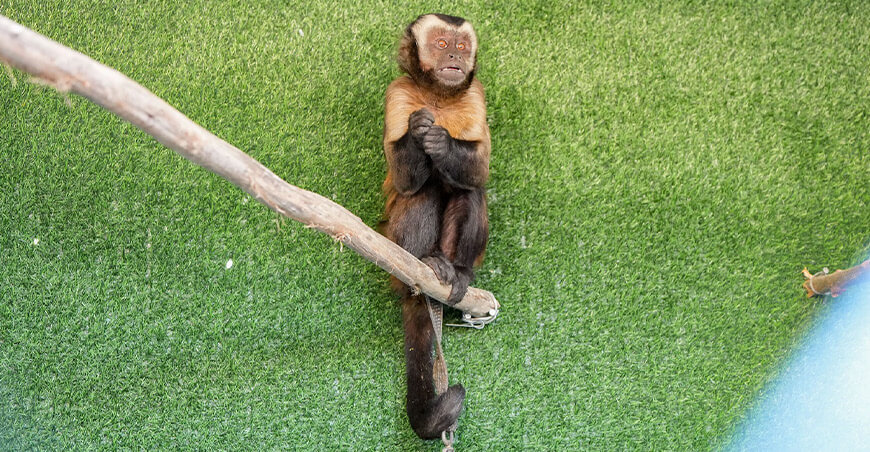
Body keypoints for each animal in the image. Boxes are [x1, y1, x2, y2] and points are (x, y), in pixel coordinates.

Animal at [381, 14, 490, 439]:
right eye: (442, 44)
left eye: (461, 47)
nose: (454, 59)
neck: (439, 97)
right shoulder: (396, 93)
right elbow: (405, 181)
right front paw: (417, 130)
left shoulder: (476, 95)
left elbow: (480, 168)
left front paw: (441, 142)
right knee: (422, 191)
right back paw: (422, 262)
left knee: (469, 190)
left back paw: (454, 269)